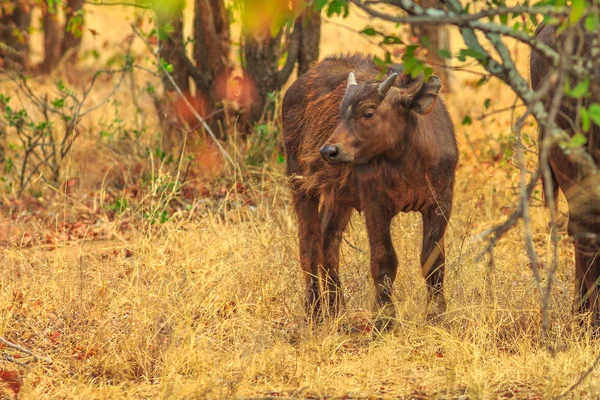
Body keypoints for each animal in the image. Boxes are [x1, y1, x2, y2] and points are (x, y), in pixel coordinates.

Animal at [284, 54, 458, 328]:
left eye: (368, 112)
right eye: (341, 112)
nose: (328, 151)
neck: (408, 160)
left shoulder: (440, 203)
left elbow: (433, 261)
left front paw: (436, 315)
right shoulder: (375, 205)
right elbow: (384, 260)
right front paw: (384, 319)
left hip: (339, 197)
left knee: (328, 241)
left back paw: (336, 307)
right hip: (300, 184)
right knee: (309, 245)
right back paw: (314, 311)